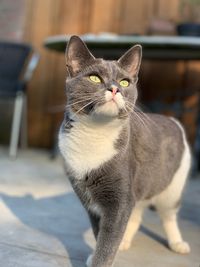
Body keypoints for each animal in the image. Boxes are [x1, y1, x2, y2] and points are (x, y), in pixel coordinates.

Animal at [58, 36, 191, 267]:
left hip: (171, 188)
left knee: (168, 216)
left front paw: (101, 260)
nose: (114, 89)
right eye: (94, 78)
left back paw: (177, 244)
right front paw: (100, 252)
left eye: (124, 82)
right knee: (136, 214)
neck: (95, 134)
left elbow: (108, 239)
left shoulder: (120, 197)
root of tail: (172, 119)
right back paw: (125, 241)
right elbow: (100, 234)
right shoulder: (89, 200)